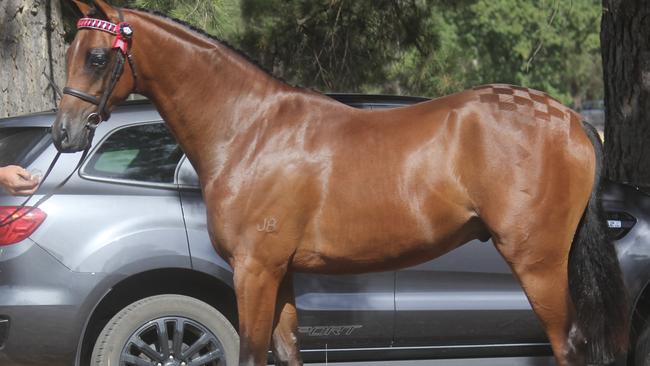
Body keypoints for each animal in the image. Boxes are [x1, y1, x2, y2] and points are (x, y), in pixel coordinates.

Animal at [53, 1, 624, 364]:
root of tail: (572, 118)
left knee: (568, 345)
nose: (64, 133)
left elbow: (252, 354)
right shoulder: (279, 272)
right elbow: (286, 351)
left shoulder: (254, 271)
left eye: (98, 57)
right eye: (71, 52)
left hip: (538, 263)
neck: (249, 129)